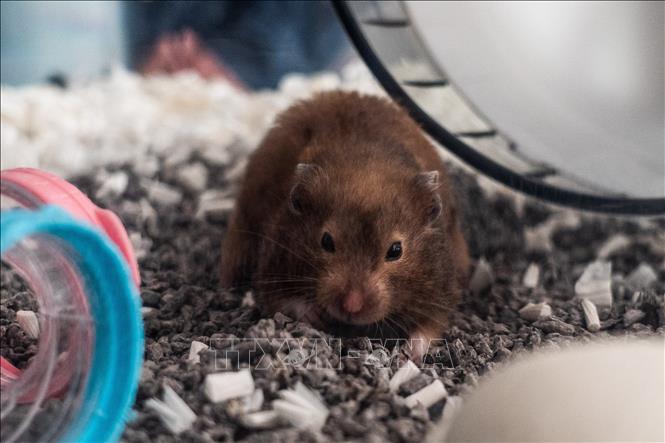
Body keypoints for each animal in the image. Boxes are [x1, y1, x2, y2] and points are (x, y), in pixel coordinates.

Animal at [221, 91, 469, 357]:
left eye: (396, 250)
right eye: (326, 241)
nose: (352, 306)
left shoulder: (441, 287)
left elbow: (430, 326)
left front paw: (408, 354)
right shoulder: (272, 264)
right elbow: (282, 300)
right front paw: (316, 316)